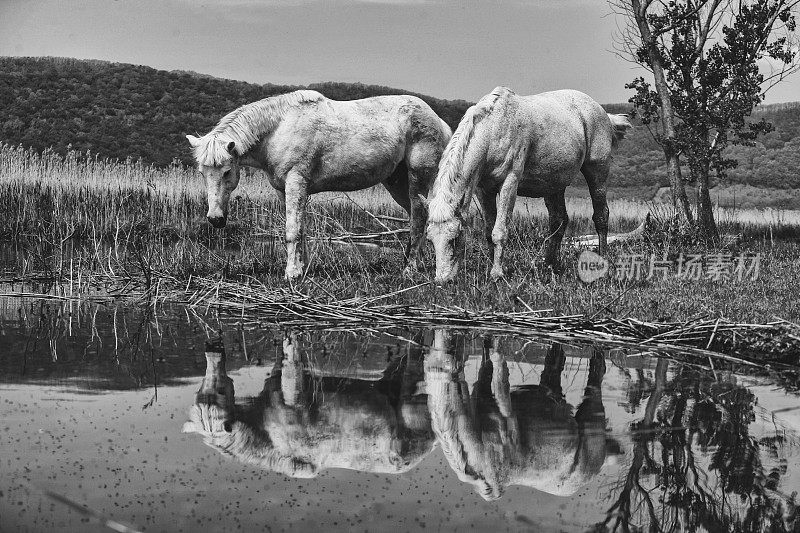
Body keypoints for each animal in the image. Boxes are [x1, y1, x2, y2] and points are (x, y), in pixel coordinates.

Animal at [184, 88, 454, 278]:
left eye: (227, 171)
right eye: (202, 172)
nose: (215, 219)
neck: (279, 128)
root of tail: (439, 122)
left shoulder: (296, 182)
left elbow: (292, 230)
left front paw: (291, 273)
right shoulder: (285, 189)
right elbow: (300, 229)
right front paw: (301, 268)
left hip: (417, 179)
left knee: (419, 218)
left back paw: (410, 270)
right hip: (397, 183)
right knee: (418, 217)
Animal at [424, 86, 632, 282]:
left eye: (454, 239)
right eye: (430, 240)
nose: (442, 280)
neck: (495, 128)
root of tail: (603, 112)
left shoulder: (509, 183)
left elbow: (499, 231)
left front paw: (497, 274)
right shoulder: (484, 190)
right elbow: (489, 232)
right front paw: (491, 268)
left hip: (597, 171)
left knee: (601, 216)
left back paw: (602, 265)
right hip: (554, 185)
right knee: (559, 220)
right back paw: (550, 265)